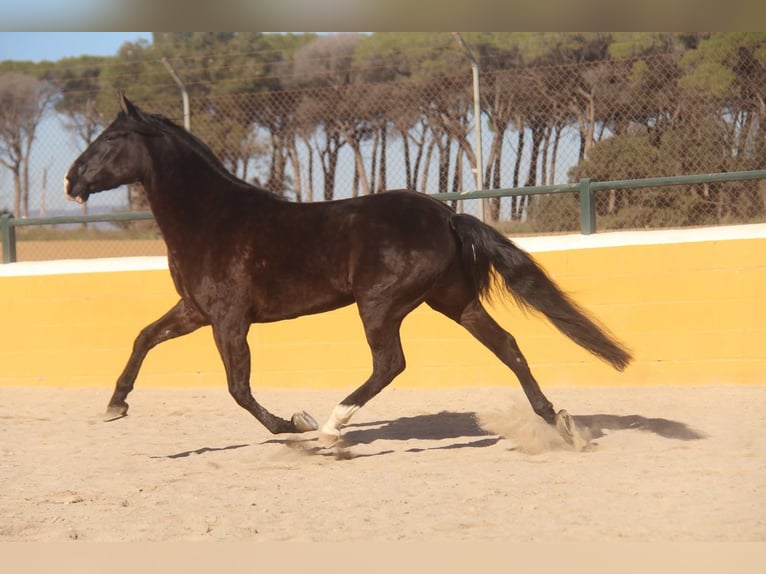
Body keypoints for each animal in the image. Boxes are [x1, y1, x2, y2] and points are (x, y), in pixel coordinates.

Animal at [64, 94, 632, 452]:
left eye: (111, 139)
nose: (71, 180)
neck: (211, 220)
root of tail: (446, 215)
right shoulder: (195, 310)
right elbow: (143, 338)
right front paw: (115, 406)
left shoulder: (228, 319)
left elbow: (239, 388)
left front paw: (297, 423)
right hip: (453, 300)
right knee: (508, 346)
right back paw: (562, 426)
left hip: (380, 304)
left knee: (390, 363)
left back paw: (333, 428)